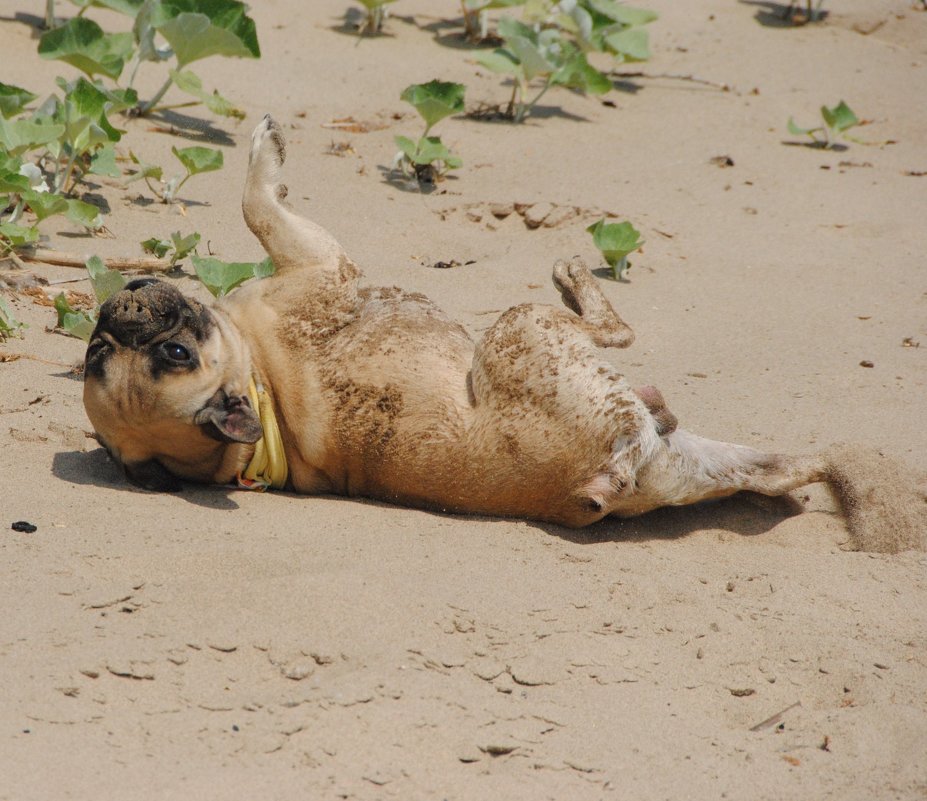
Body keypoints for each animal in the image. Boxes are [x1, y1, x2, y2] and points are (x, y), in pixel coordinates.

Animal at [83, 115, 924, 548]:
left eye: (105, 352)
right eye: (177, 353)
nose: (116, 312)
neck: (260, 409)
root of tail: (600, 474)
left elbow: (258, 206)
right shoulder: (317, 262)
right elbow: (258, 201)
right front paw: (264, 150)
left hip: (699, 461)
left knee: (786, 464)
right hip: (521, 334)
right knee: (612, 332)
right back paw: (577, 280)